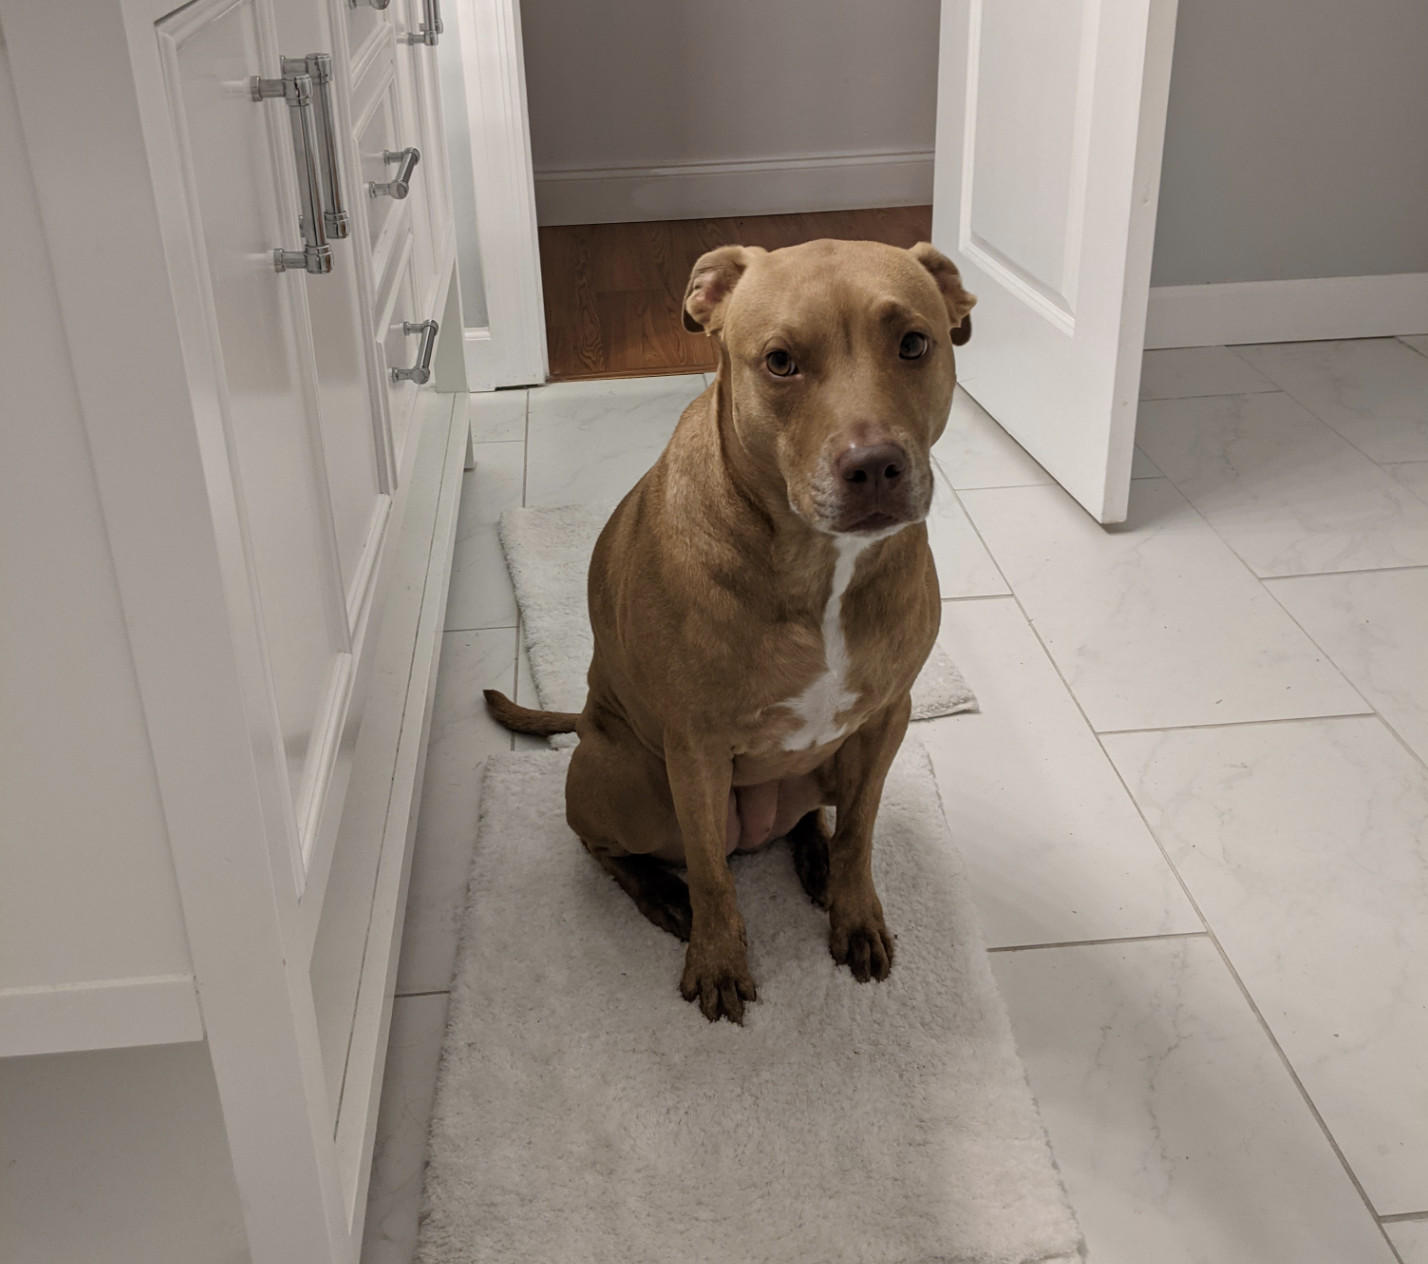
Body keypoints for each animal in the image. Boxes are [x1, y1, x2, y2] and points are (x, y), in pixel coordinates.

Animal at [488, 237, 971, 1022]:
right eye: (779, 361)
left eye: (913, 343)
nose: (875, 465)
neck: (820, 566)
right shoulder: (696, 748)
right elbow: (712, 872)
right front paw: (716, 961)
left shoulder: (884, 721)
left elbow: (861, 832)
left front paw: (855, 912)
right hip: (632, 784)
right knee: (608, 845)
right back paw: (662, 895)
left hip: (820, 769)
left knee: (813, 820)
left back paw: (814, 858)